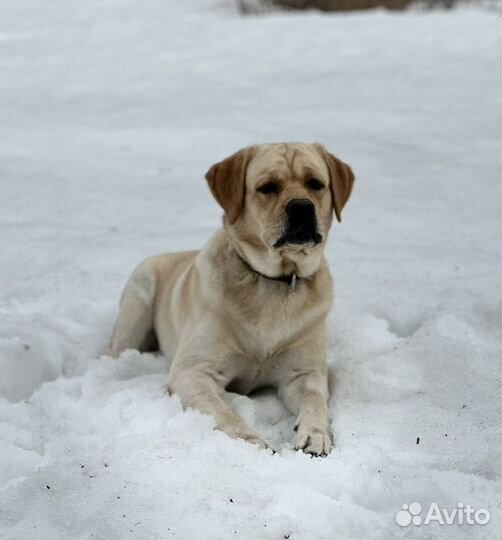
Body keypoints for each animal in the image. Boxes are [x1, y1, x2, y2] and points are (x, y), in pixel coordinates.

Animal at [108, 143, 354, 456]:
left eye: (316, 184)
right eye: (267, 187)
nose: (301, 206)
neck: (274, 281)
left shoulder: (303, 372)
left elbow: (314, 399)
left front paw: (315, 434)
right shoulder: (193, 371)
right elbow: (223, 411)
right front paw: (249, 440)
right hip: (137, 302)